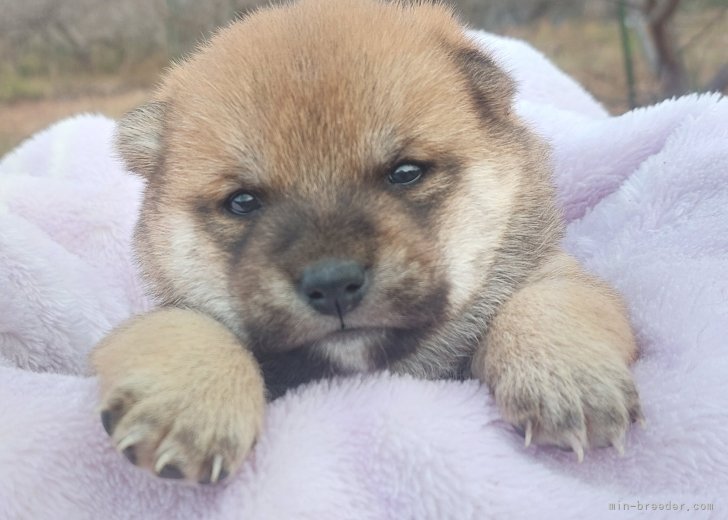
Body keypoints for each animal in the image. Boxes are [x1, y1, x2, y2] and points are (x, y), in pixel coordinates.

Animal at [92, 0, 644, 484]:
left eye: (405, 172)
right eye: (243, 202)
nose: (333, 284)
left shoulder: (544, 269)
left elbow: (549, 300)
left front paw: (564, 376)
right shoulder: (173, 311)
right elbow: (184, 324)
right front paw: (190, 399)